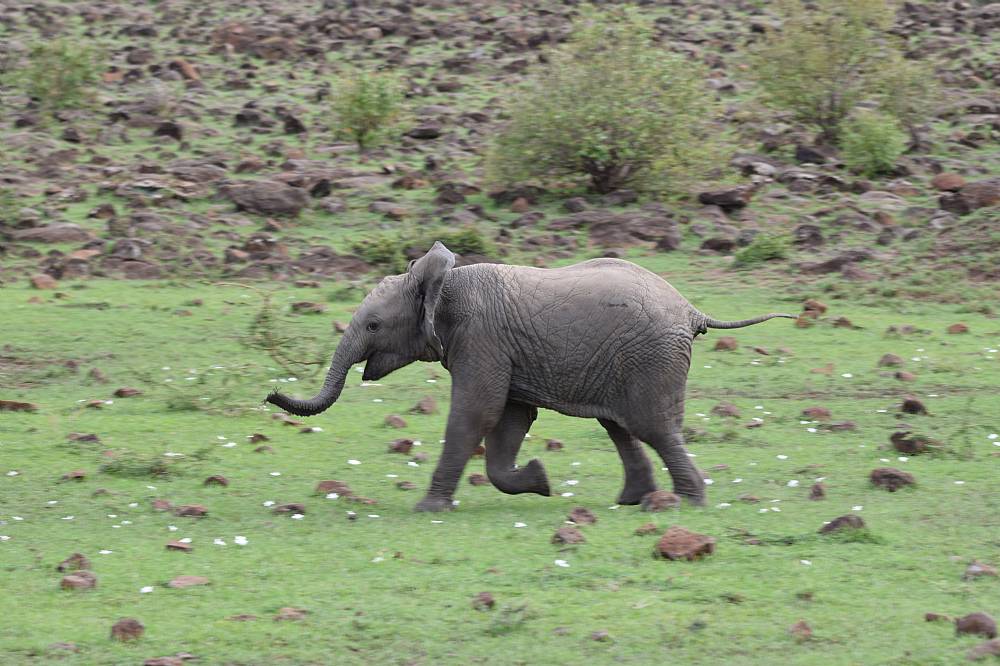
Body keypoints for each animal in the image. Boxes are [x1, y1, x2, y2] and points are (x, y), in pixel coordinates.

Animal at [268, 241, 796, 510]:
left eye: (375, 326)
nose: (271, 394)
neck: (445, 281)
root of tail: (690, 309)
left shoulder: (480, 339)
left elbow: (475, 415)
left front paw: (427, 510)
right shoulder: (499, 349)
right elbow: (509, 420)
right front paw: (541, 481)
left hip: (651, 357)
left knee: (653, 428)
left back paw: (685, 504)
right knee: (621, 427)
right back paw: (633, 500)